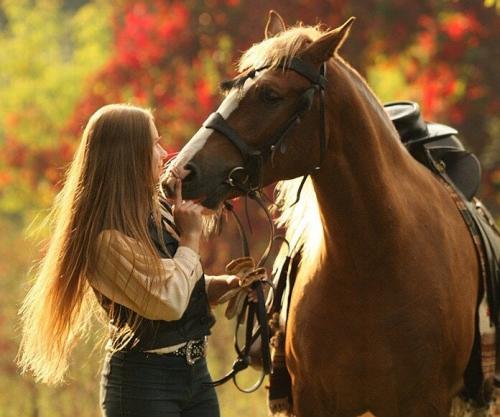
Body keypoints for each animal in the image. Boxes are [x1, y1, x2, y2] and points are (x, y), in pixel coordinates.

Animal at [162, 12, 478, 416]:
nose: (179, 173)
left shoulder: (425, 402)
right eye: (230, 88)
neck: (372, 265)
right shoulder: (314, 399)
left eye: (270, 95)